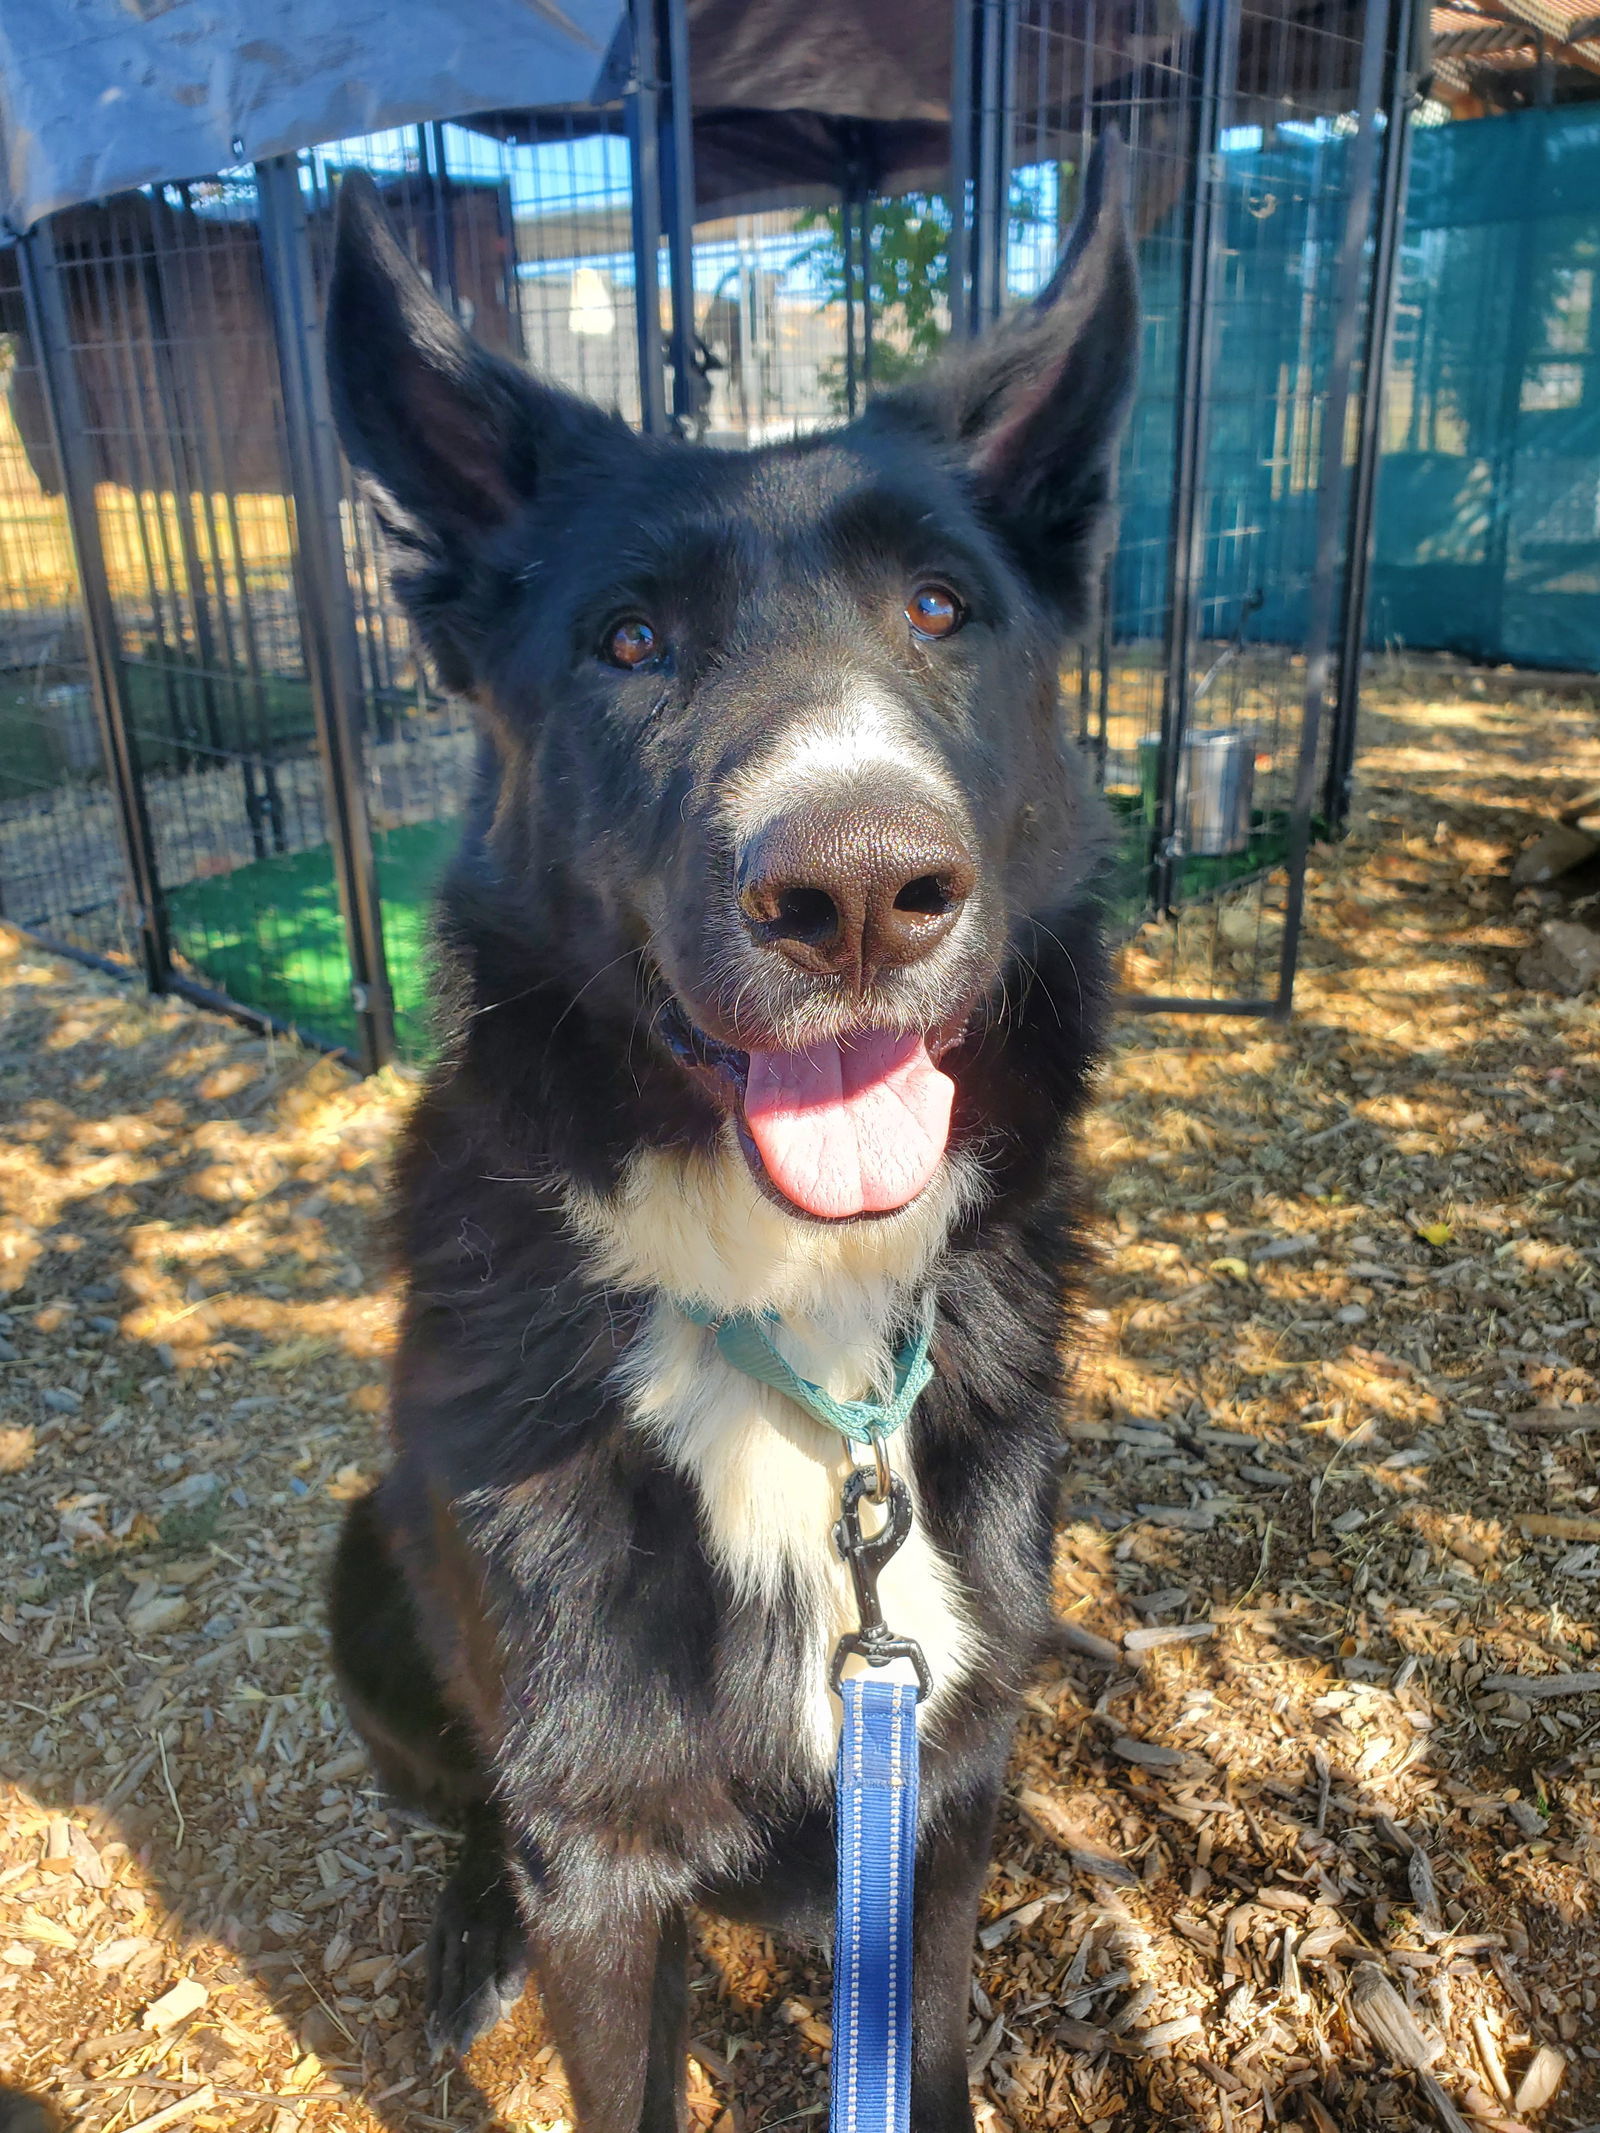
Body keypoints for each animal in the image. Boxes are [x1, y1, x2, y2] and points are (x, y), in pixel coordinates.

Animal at [322, 146, 1143, 2133]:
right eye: (631, 640)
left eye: (942, 609)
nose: (856, 891)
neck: (800, 1318)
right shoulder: (604, 1864)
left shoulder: (937, 1811)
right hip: (364, 1573)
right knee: (464, 1814)